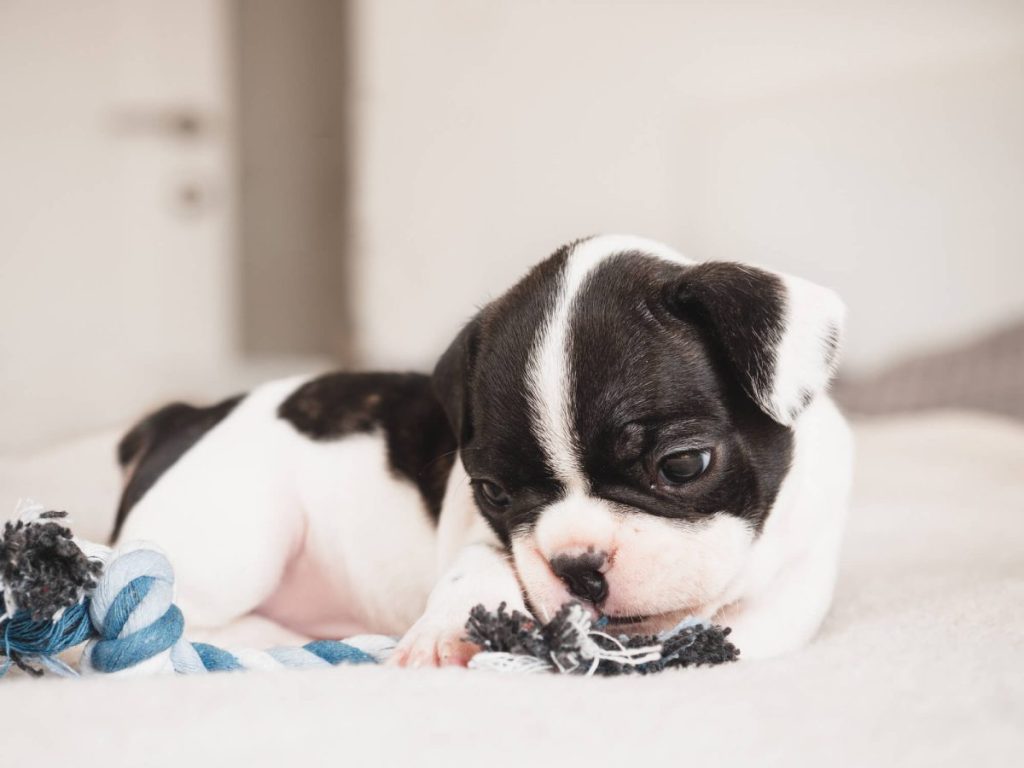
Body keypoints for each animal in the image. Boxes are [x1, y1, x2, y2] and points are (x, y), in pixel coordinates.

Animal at [112, 234, 851, 667]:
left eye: (683, 465)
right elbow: (478, 572)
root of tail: (189, 416)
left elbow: (754, 626)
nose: (576, 565)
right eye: (494, 492)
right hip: (232, 546)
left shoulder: (799, 575)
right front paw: (449, 632)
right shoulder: (479, 537)